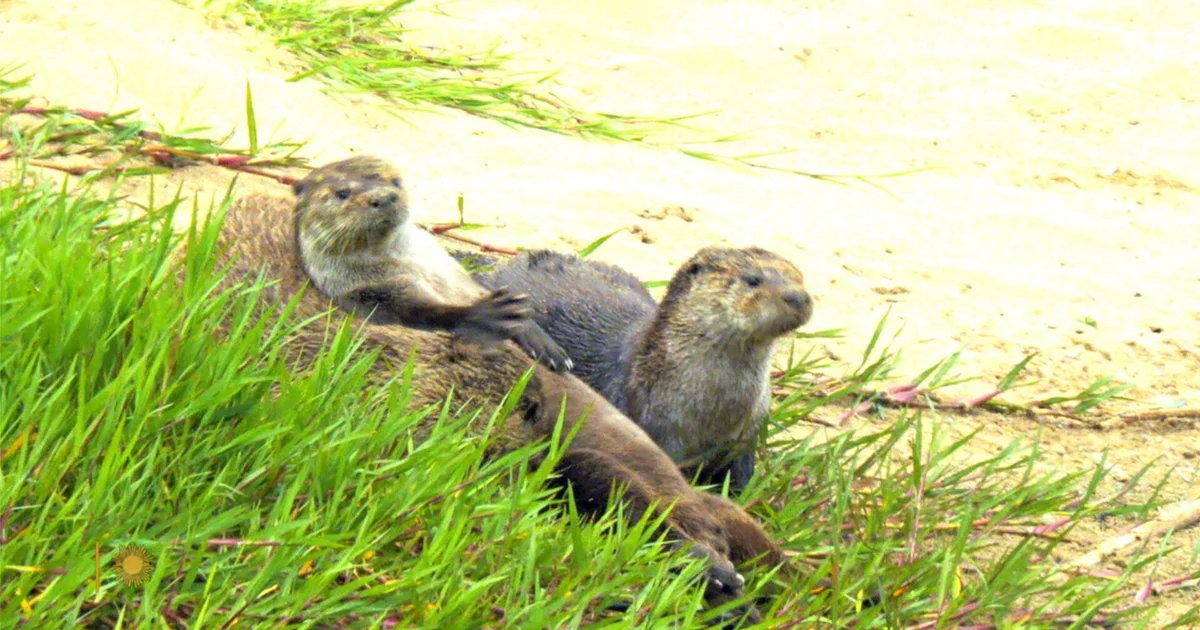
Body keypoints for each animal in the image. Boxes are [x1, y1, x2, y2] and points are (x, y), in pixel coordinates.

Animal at [293, 156, 571, 372]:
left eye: (395, 182)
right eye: (342, 193)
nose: (384, 196)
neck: (413, 267)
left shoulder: (458, 277)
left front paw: (538, 338)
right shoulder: (372, 293)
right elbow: (426, 313)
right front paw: (487, 313)